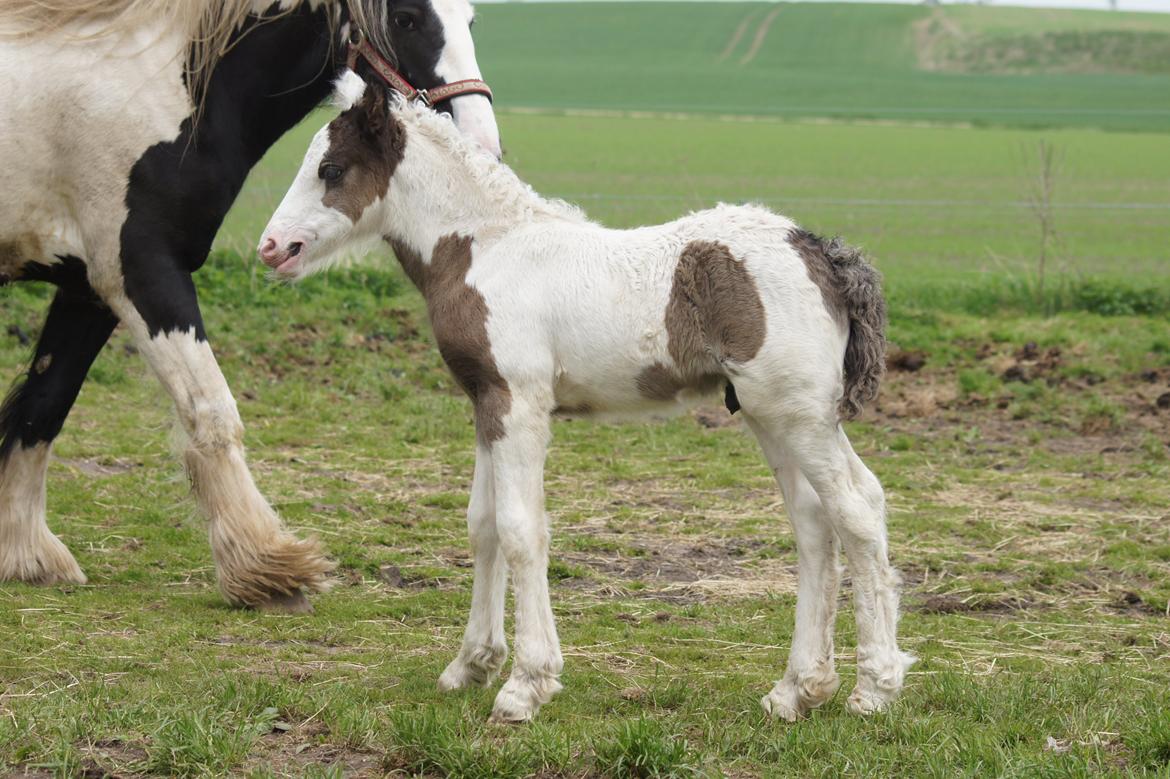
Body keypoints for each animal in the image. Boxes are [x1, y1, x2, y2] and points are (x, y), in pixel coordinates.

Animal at [0, 0, 498, 608]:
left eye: (471, 21)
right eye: (405, 19)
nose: (482, 145)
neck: (161, 89)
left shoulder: (88, 288)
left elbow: (44, 403)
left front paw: (27, 553)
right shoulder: (143, 271)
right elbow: (211, 411)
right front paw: (268, 565)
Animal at [260, 74, 907, 720]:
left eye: (331, 169)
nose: (272, 247)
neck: (485, 249)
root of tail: (821, 251)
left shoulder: (518, 402)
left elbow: (521, 528)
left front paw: (525, 684)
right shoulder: (485, 402)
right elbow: (483, 524)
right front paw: (471, 665)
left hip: (800, 415)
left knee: (856, 509)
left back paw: (874, 687)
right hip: (768, 414)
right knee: (815, 521)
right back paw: (797, 689)